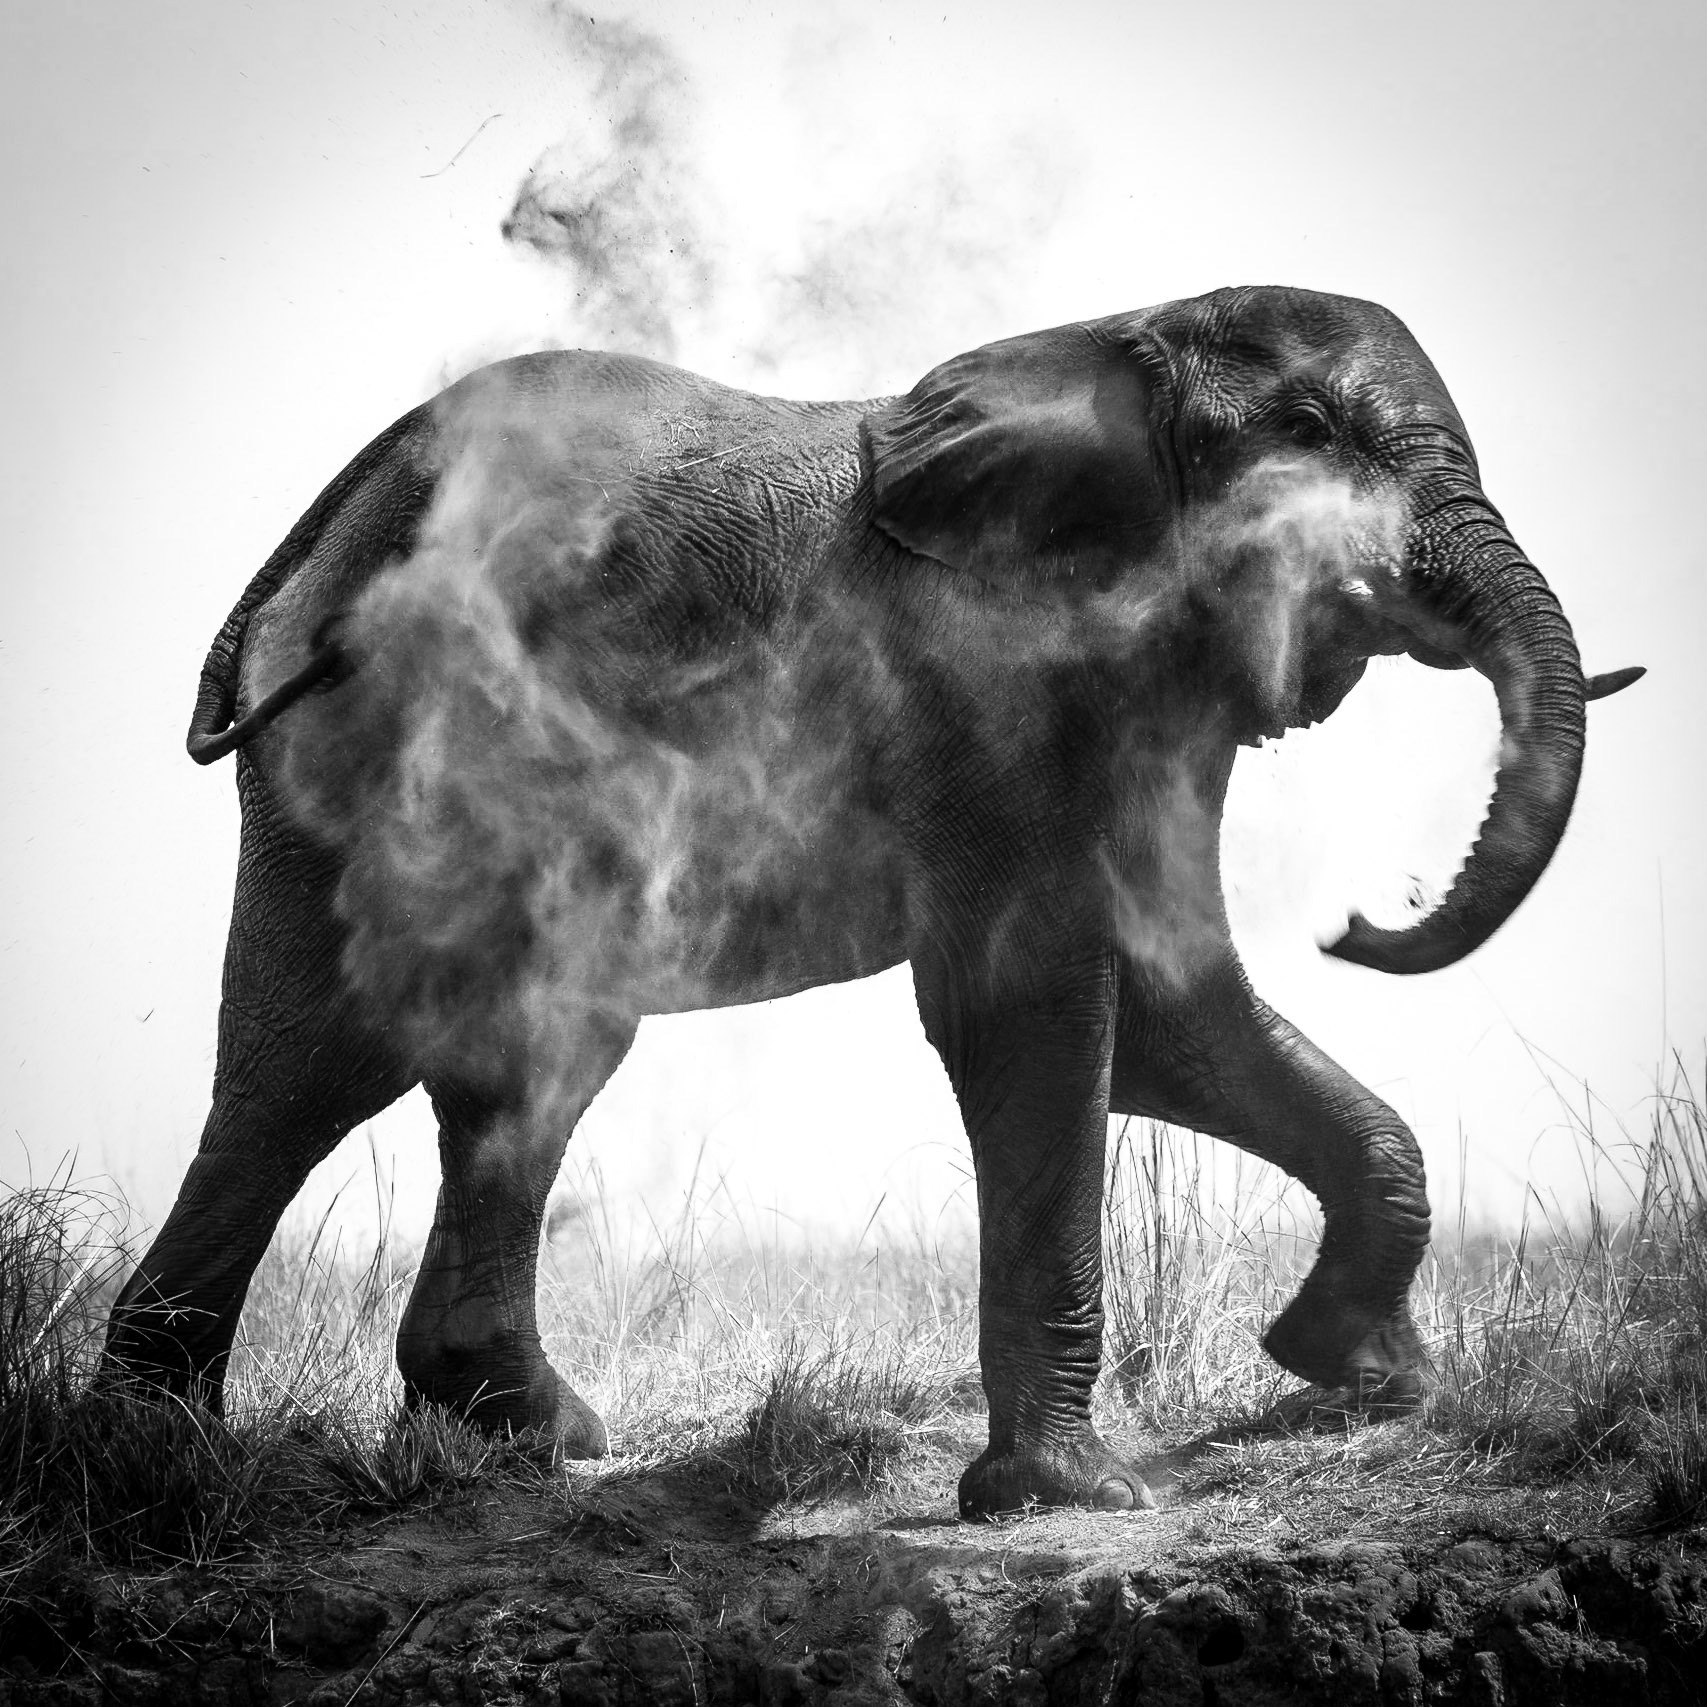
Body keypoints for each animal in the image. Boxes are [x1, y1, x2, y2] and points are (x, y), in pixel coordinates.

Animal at [104, 285, 1642, 1517]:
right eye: (1315, 430)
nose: (1357, 920)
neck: (1126, 335)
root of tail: (322, 528)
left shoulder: (1151, 695)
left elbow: (1170, 1021)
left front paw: (1359, 1373)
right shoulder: (996, 684)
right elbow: (1035, 1016)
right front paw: (1074, 1498)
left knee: (531, 1062)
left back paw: (524, 1437)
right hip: (367, 758)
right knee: (309, 1067)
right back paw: (155, 1446)